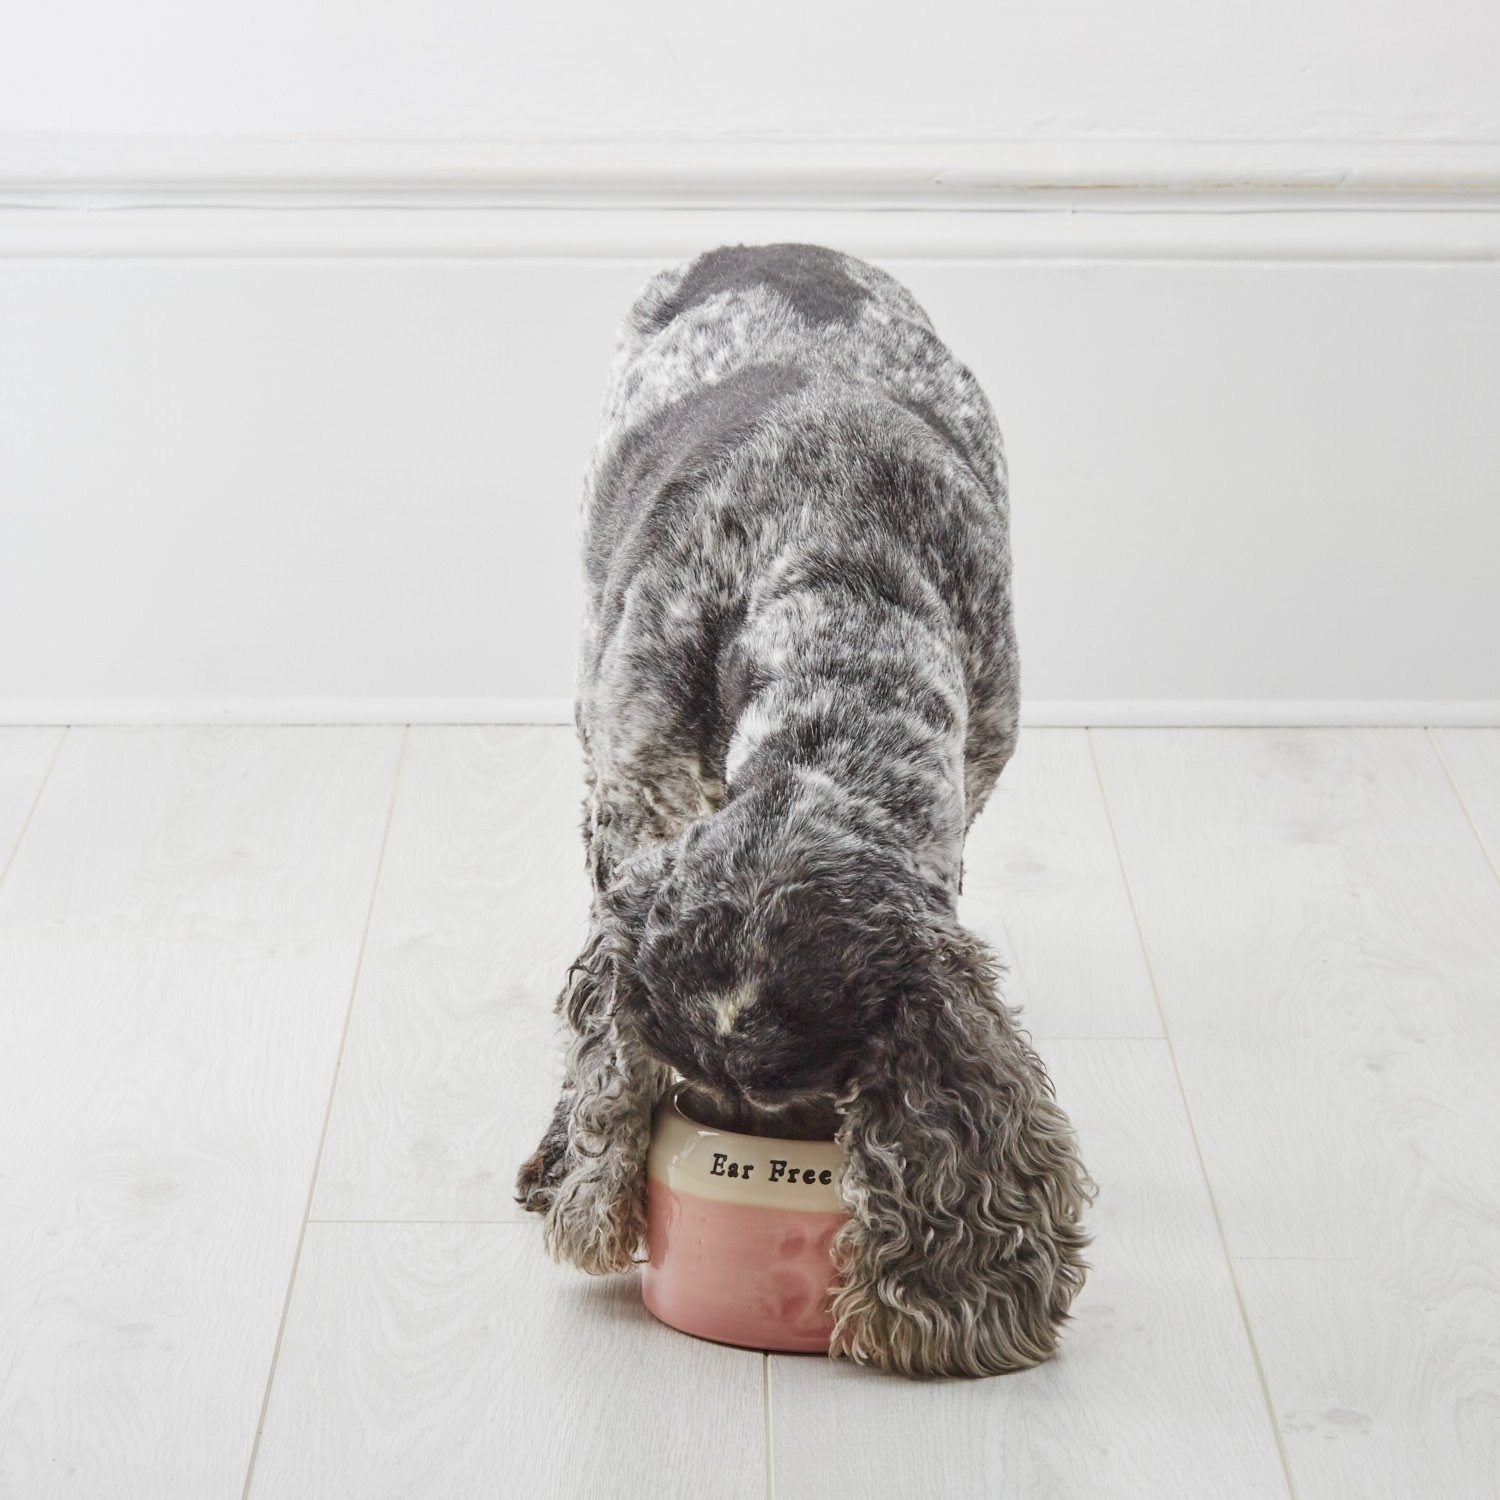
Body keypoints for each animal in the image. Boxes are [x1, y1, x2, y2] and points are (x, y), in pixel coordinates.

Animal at [516, 240, 1092, 1374]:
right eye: (682, 1080)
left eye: (807, 1099)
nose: (714, 1138)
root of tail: (777, 245)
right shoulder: (630, 818)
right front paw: (575, 1153)